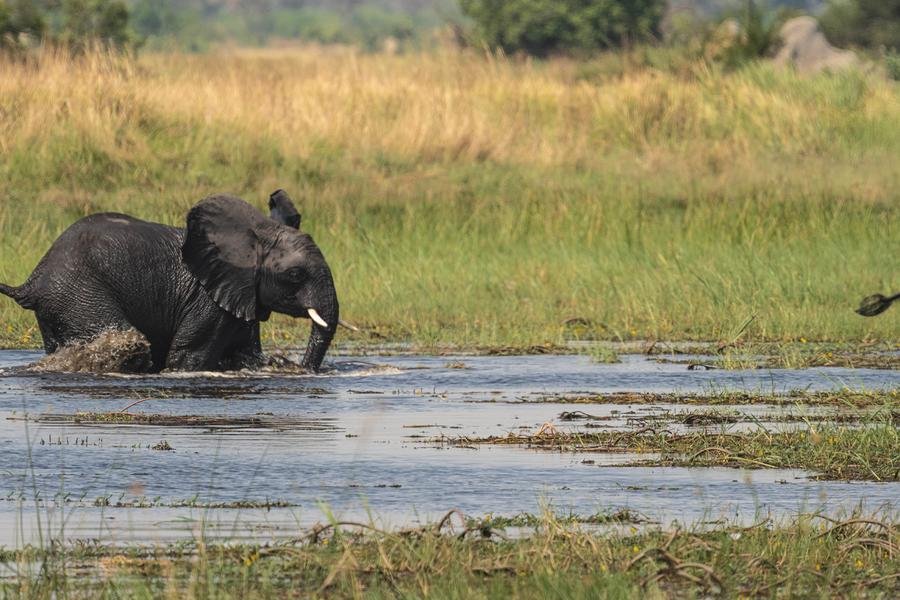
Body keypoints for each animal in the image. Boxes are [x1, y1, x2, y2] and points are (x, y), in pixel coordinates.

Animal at [0, 190, 339, 372]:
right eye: (296, 275)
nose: (299, 368)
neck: (254, 235)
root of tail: (32, 281)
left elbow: (244, 355)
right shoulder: (208, 301)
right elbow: (189, 356)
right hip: (79, 296)